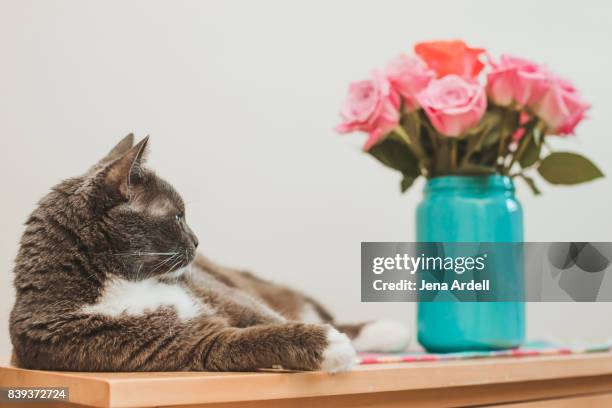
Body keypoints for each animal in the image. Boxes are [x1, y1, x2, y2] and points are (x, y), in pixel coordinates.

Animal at [9, 135, 408, 372]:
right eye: (178, 216)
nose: (199, 242)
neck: (126, 282)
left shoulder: (212, 291)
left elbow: (260, 315)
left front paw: (334, 337)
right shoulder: (171, 345)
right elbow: (244, 339)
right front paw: (328, 344)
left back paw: (388, 332)